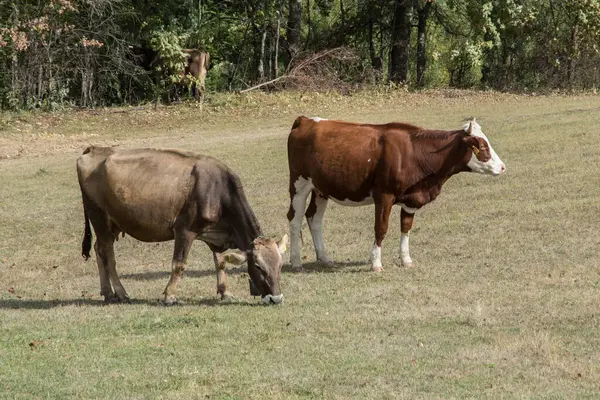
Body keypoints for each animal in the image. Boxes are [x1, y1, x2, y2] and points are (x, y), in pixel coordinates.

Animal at [77, 148, 288, 306]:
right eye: (258, 267)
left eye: (280, 265)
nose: (276, 299)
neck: (217, 190)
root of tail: (94, 150)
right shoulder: (185, 230)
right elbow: (179, 264)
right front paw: (170, 295)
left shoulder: (216, 235)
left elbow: (220, 262)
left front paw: (225, 292)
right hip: (99, 216)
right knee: (108, 255)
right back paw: (121, 293)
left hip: (113, 223)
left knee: (99, 249)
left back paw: (107, 292)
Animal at [286, 115, 506, 272]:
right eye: (482, 146)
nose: (503, 167)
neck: (415, 153)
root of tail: (305, 120)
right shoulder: (384, 196)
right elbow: (381, 228)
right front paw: (376, 263)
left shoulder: (411, 199)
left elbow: (406, 228)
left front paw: (406, 259)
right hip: (299, 183)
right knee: (294, 218)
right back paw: (296, 261)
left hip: (320, 188)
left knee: (314, 218)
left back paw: (324, 257)